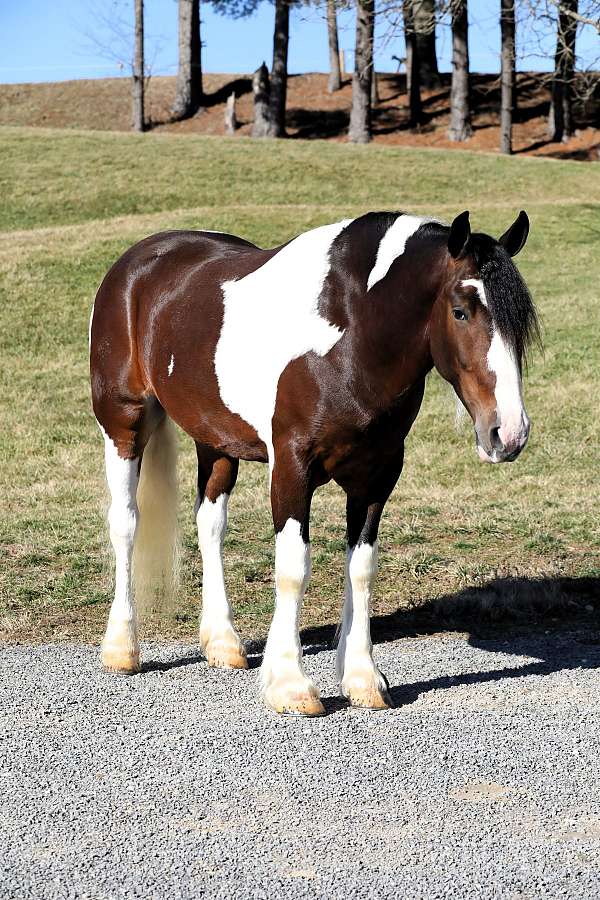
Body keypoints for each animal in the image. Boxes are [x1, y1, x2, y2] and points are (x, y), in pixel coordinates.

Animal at [90, 209, 540, 716]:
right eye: (460, 310)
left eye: (519, 320)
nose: (508, 432)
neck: (352, 333)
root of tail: (137, 262)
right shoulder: (291, 468)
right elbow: (293, 567)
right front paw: (291, 684)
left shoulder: (376, 476)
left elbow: (361, 568)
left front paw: (362, 677)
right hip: (123, 425)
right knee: (125, 523)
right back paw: (122, 647)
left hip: (216, 440)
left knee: (210, 523)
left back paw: (223, 642)